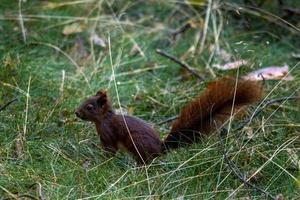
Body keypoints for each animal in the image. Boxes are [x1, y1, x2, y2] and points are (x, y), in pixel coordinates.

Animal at [75, 77, 262, 163]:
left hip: (136, 142)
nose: (76, 113)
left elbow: (110, 150)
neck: (103, 119)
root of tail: (160, 149)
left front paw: (103, 161)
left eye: (90, 107)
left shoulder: (108, 134)